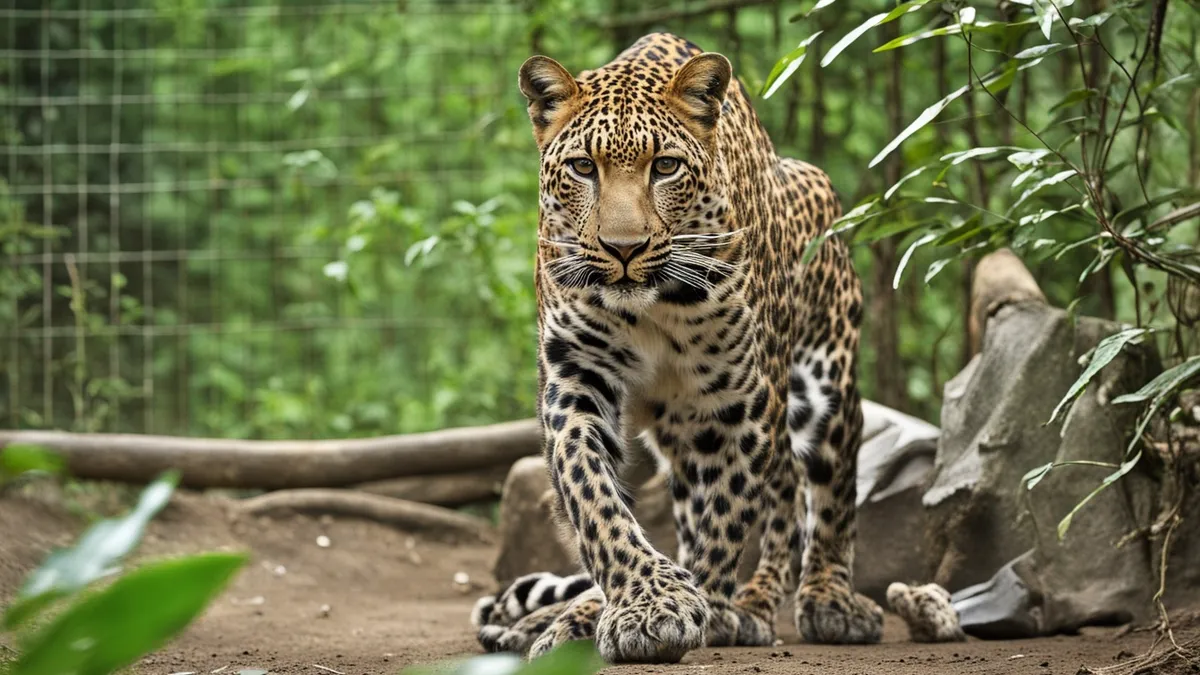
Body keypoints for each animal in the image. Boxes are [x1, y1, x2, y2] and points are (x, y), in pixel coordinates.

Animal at [472, 32, 883, 663]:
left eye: (665, 166)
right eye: (583, 167)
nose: (623, 248)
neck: (651, 308)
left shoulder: (740, 401)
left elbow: (724, 519)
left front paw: (690, 608)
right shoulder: (575, 380)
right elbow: (595, 499)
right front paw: (646, 600)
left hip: (823, 379)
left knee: (818, 488)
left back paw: (817, 602)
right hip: (682, 427)